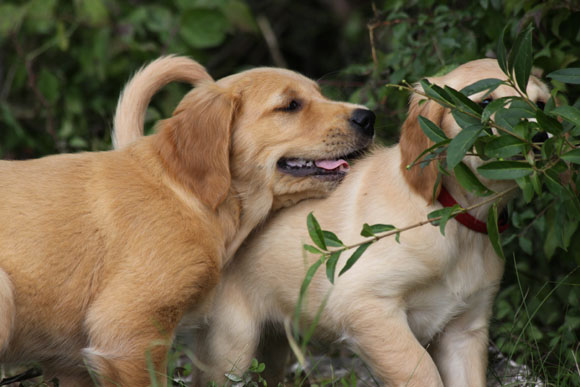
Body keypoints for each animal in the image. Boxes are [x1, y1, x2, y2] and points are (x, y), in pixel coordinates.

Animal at [0, 56, 372, 386]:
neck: (189, 195)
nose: (369, 117)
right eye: (291, 105)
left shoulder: (70, 363)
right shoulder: (129, 332)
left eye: (319, 94)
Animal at [190, 59, 552, 386]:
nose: (540, 137)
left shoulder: (465, 331)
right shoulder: (367, 307)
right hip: (231, 347)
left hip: (271, 349)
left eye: (541, 104)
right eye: (486, 103)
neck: (456, 220)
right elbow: (421, 372)